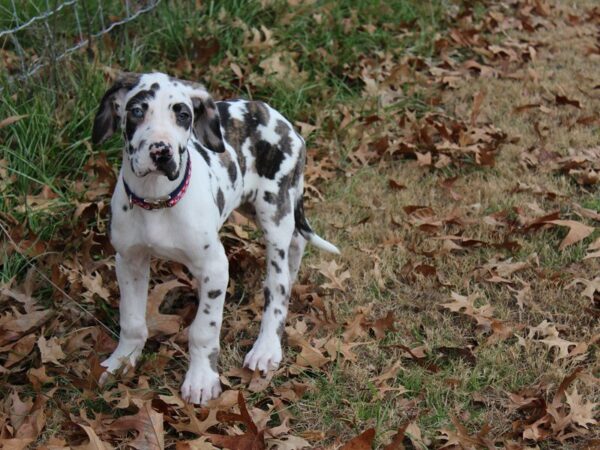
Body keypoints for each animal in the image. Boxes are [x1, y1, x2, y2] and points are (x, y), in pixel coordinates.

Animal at [92, 73, 340, 404]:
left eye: (183, 115)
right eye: (137, 111)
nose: (161, 152)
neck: (157, 199)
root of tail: (279, 118)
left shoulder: (215, 267)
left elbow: (203, 330)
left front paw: (201, 379)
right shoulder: (129, 260)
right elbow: (131, 321)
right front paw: (122, 361)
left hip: (274, 210)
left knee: (278, 284)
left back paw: (266, 348)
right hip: (257, 205)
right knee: (297, 242)